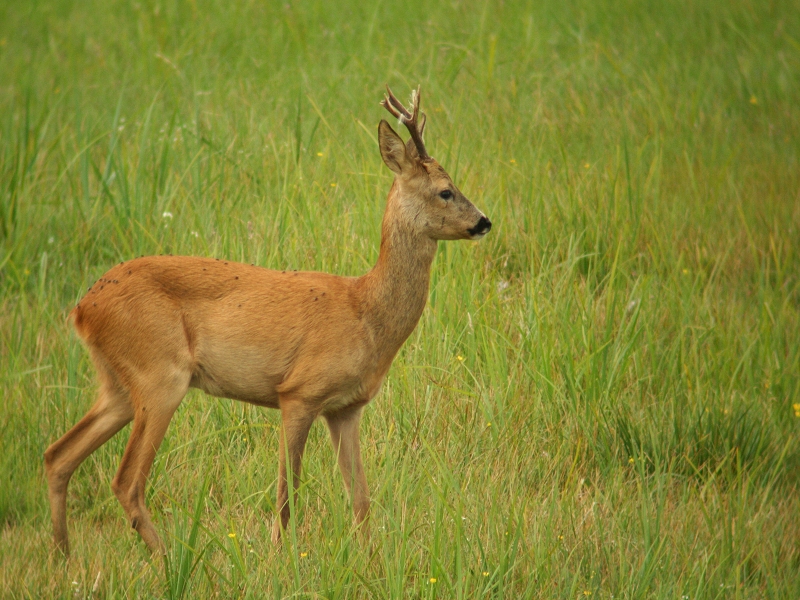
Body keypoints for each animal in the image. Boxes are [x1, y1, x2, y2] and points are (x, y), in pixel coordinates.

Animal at [47, 84, 490, 552]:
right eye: (445, 190)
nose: (484, 222)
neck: (367, 314)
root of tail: (82, 308)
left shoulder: (346, 408)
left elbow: (361, 499)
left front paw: (369, 557)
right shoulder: (298, 392)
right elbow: (286, 493)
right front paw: (280, 556)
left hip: (118, 384)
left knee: (58, 455)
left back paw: (63, 556)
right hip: (160, 375)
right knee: (126, 481)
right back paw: (168, 558)